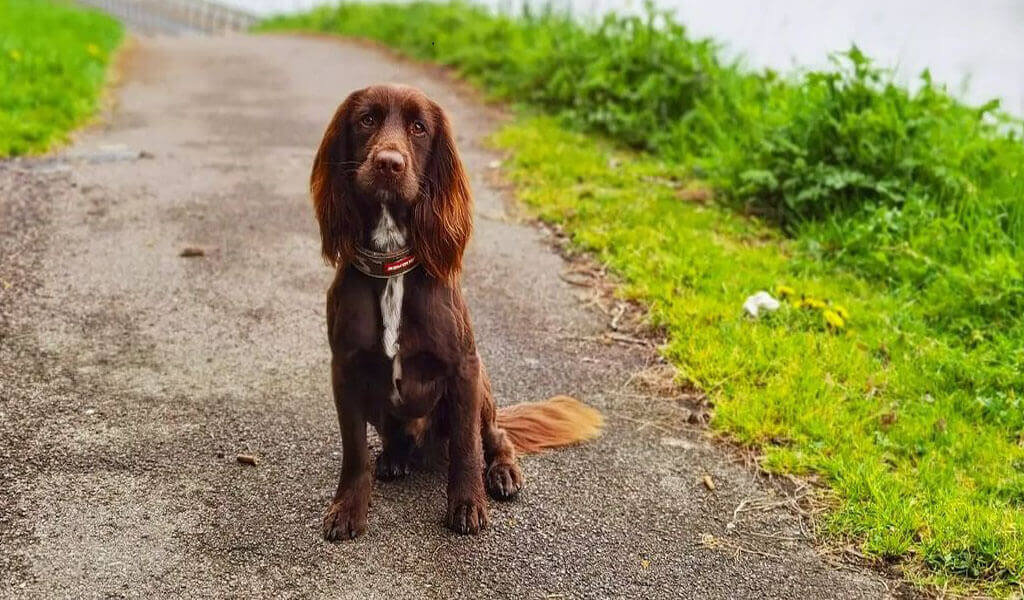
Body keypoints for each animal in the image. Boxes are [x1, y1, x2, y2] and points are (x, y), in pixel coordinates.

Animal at [307, 83, 602, 536]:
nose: (389, 164)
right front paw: (348, 507)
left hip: (484, 387)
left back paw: (502, 471)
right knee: (396, 440)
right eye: (367, 120)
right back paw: (394, 458)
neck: (392, 262)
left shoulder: (464, 368)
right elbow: (354, 450)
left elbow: (466, 446)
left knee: (495, 437)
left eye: (418, 127)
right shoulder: (345, 368)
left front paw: (466, 503)